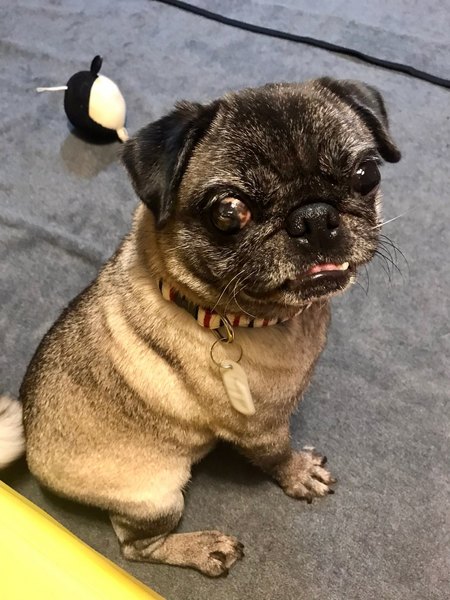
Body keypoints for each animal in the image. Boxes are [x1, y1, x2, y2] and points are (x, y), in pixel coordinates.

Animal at [0, 78, 400, 576]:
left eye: (366, 175)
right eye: (229, 212)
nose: (313, 216)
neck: (224, 313)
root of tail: (32, 444)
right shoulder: (261, 429)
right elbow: (278, 455)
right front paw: (297, 473)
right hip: (157, 497)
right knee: (136, 547)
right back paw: (203, 548)